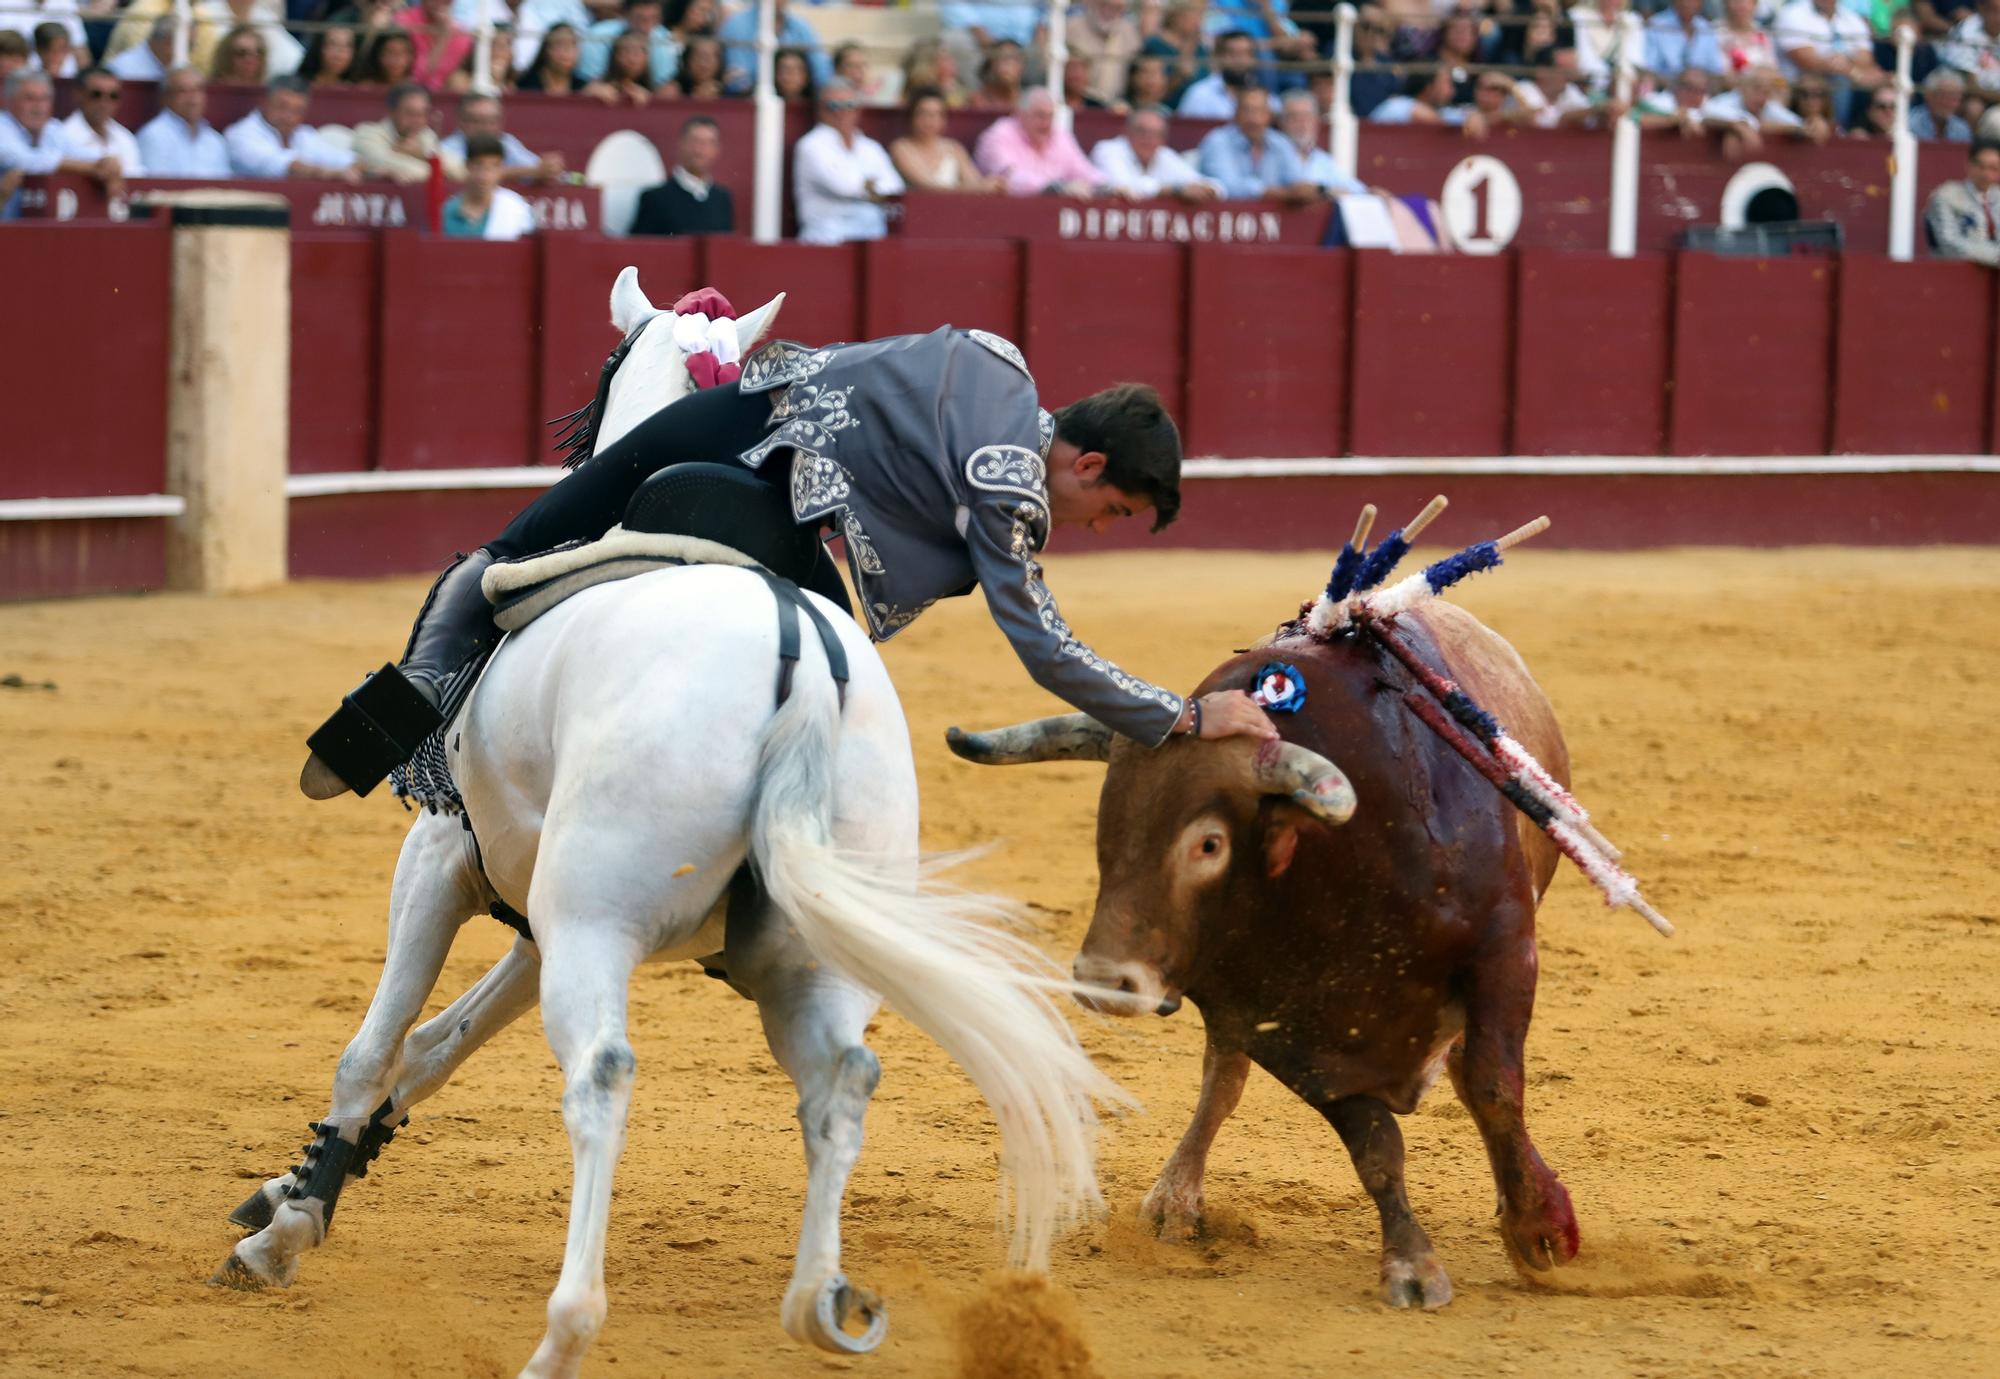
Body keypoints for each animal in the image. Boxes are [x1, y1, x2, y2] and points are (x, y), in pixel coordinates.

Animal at [223, 267, 1128, 1375]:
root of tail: (799, 668)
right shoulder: (533, 920)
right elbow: (433, 1047)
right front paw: (294, 1189)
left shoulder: (446, 858)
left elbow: (376, 1042)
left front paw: (285, 1227)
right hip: (795, 948)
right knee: (843, 1077)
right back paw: (817, 1300)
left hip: (596, 921)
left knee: (603, 1075)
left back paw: (564, 1332)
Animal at [944, 599, 1584, 1303]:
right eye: (1107, 823)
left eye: (1209, 844)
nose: (1102, 979)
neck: (1345, 868)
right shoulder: (1282, 1032)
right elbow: (1374, 1146)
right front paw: (1412, 1263)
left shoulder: (1504, 950)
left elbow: (1494, 1088)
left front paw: (1537, 1227)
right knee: (1222, 1080)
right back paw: (1175, 1199)